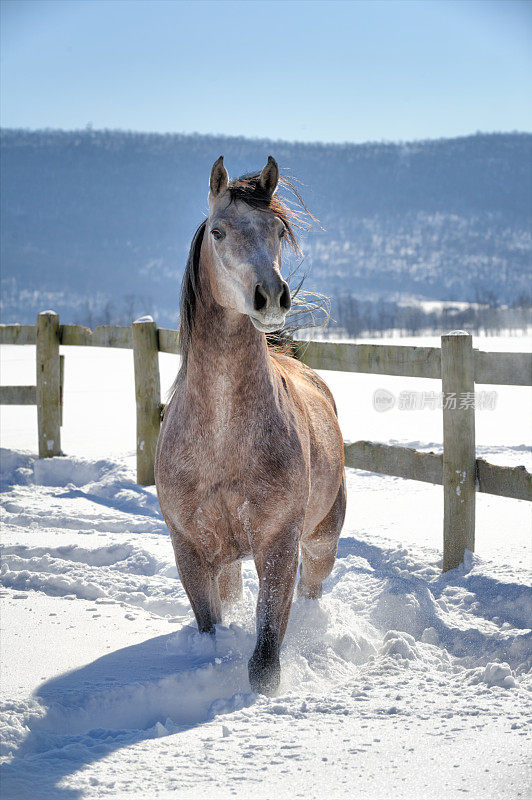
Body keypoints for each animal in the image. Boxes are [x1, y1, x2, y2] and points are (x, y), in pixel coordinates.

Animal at [155, 156, 344, 692]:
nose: (271, 297)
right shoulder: (190, 550)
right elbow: (210, 626)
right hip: (226, 563)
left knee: (311, 595)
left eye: (278, 230)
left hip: (320, 544)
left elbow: (264, 658)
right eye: (219, 231)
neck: (221, 438)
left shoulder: (279, 544)